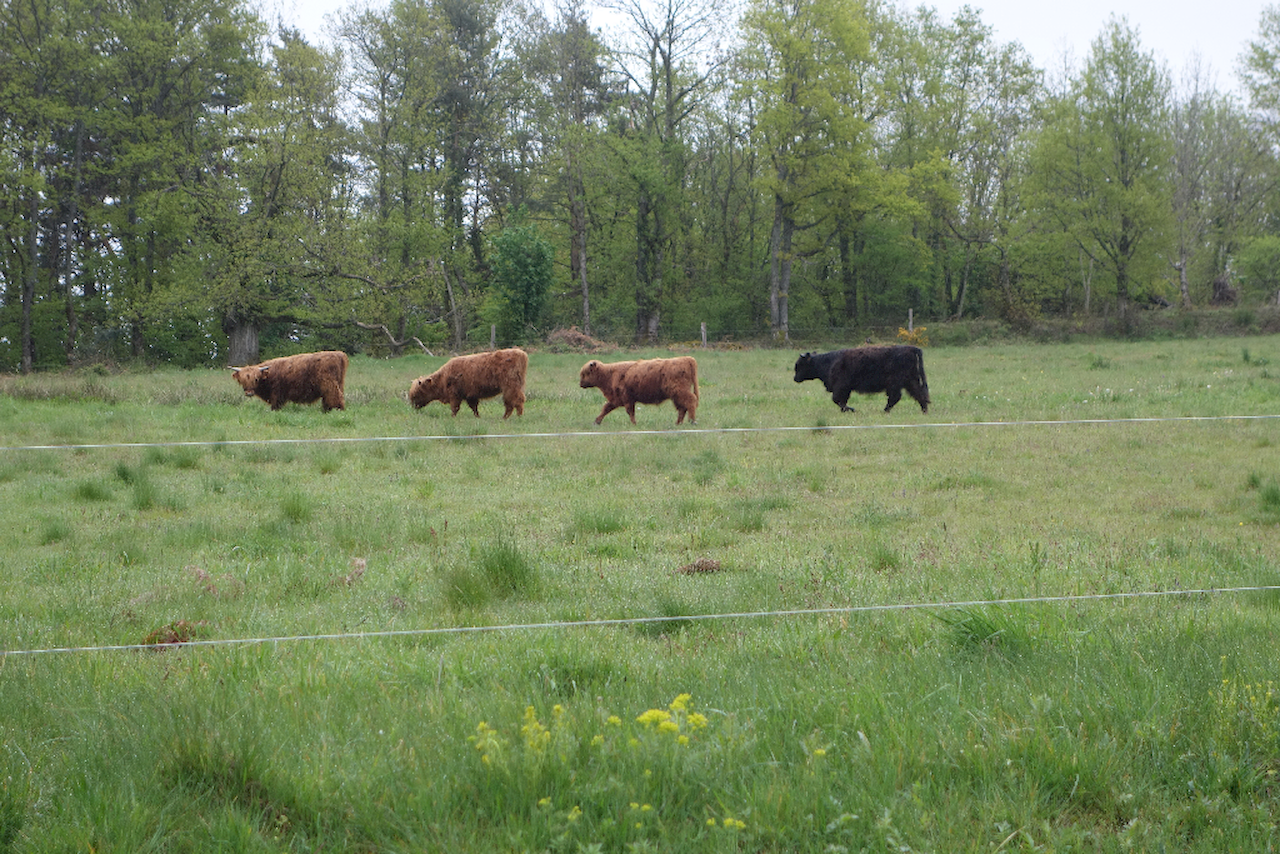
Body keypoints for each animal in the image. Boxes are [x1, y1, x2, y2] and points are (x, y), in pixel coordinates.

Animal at [788, 345, 931, 414]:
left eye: (799, 365)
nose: (795, 378)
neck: (829, 362)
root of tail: (911, 348)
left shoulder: (841, 386)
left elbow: (837, 399)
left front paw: (851, 410)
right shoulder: (845, 389)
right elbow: (841, 401)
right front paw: (846, 410)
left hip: (895, 382)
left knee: (895, 397)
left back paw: (885, 411)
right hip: (910, 381)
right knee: (919, 394)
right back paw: (924, 411)